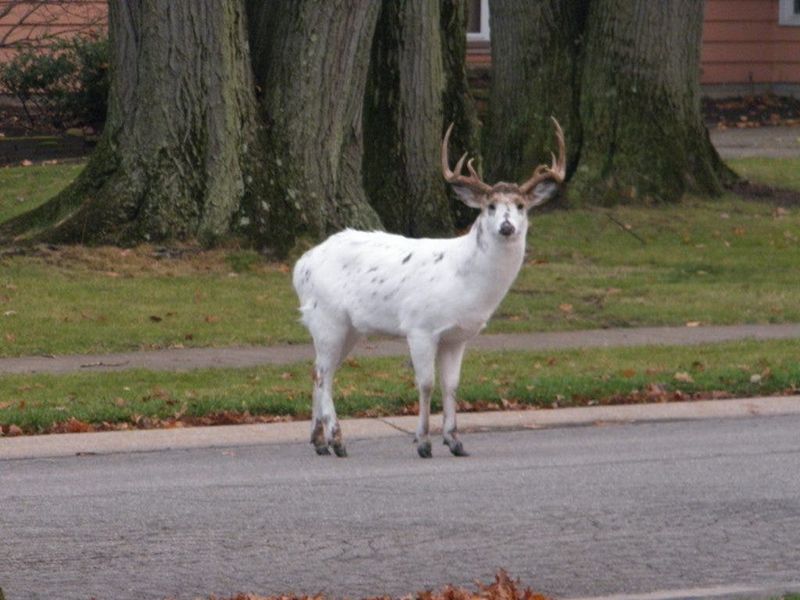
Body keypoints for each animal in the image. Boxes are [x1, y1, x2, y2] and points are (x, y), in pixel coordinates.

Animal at [292, 118, 566, 458]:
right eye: (490, 206)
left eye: (520, 206)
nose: (507, 227)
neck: (465, 283)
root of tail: (301, 265)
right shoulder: (419, 327)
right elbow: (426, 383)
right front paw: (423, 442)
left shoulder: (457, 337)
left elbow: (452, 385)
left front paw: (455, 441)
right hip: (328, 318)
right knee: (322, 374)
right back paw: (337, 439)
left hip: (348, 328)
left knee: (319, 371)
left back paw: (320, 441)